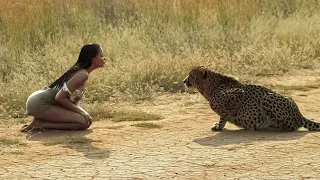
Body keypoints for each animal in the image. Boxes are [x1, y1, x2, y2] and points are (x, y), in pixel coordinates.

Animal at [182, 66, 320, 131]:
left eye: (191, 75)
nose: (184, 81)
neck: (210, 87)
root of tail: (298, 112)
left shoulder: (238, 93)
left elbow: (224, 114)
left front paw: (219, 126)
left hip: (267, 98)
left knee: (291, 125)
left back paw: (267, 125)